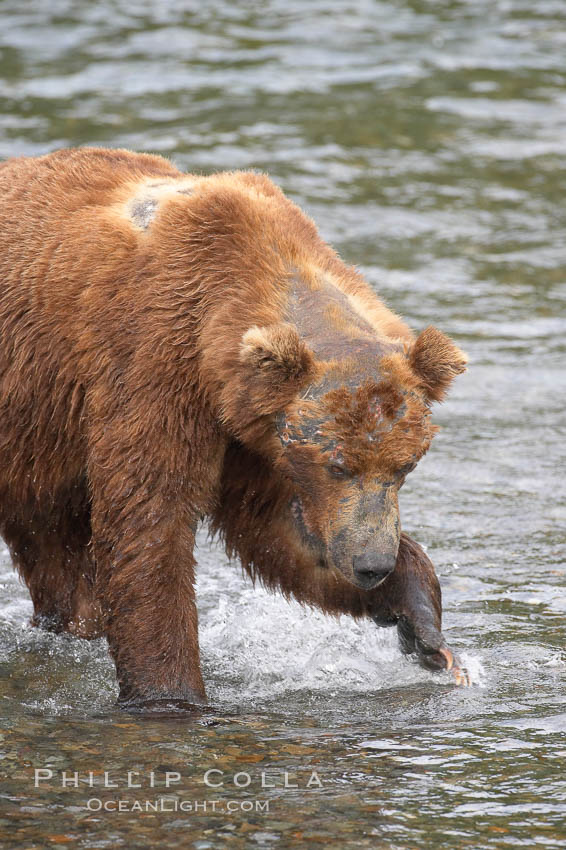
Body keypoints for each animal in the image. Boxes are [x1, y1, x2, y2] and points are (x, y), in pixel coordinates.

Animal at [0, 149, 470, 704]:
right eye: (337, 466)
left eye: (405, 466)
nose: (372, 564)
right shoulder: (153, 371)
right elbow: (149, 522)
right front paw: (173, 695)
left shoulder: (254, 434)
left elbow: (277, 528)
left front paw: (423, 626)